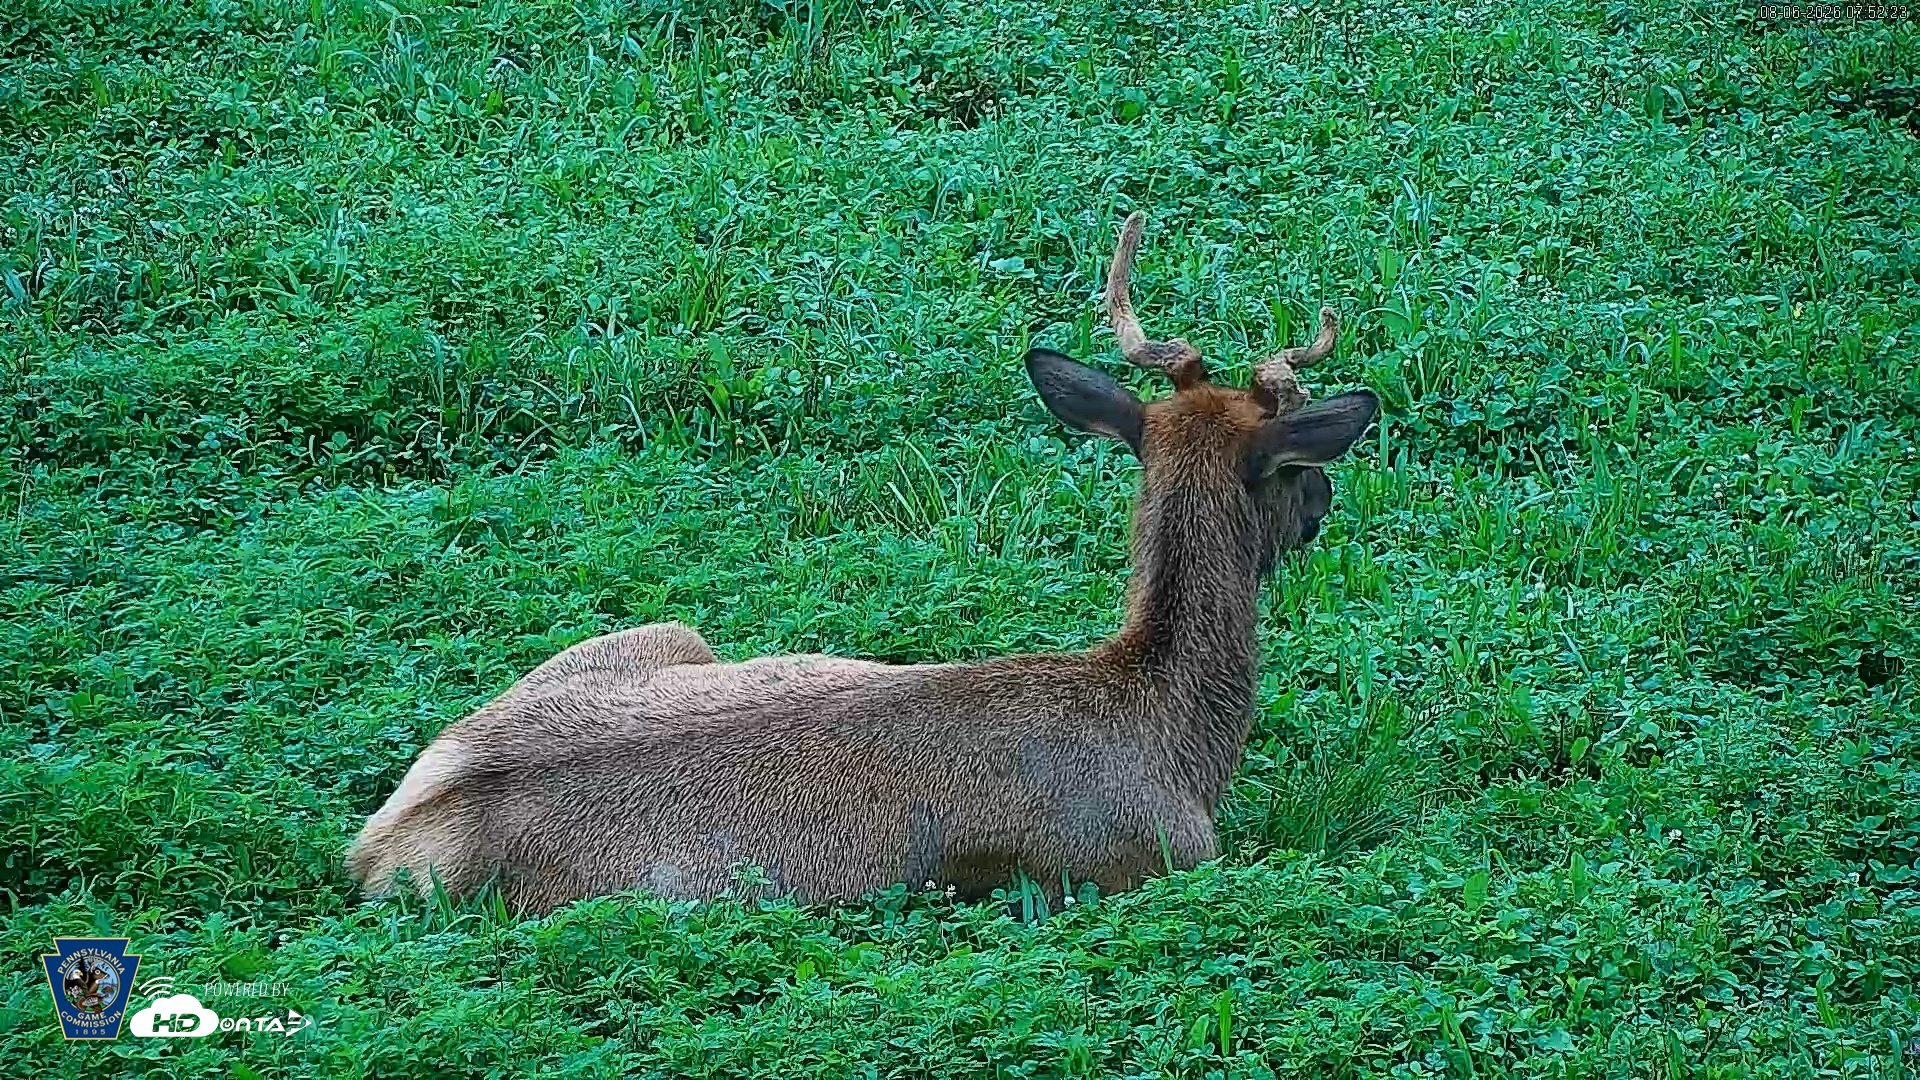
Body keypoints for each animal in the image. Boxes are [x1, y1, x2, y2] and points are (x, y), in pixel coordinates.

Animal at [347, 212, 1379, 915]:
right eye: (1295, 465)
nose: (1325, 500)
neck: (1171, 736)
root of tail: (382, 846)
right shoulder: (1146, 859)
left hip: (662, 632)